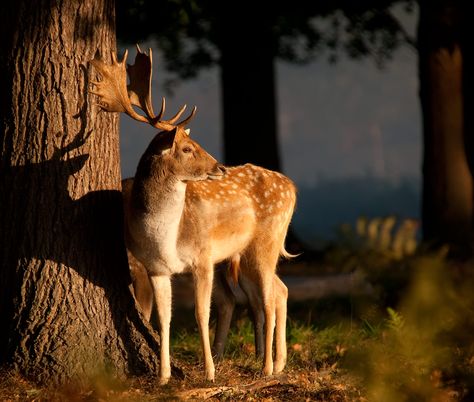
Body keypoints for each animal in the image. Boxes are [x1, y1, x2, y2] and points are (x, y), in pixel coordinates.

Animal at [89, 46, 296, 384]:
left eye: (194, 143)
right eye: (187, 148)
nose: (220, 167)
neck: (165, 238)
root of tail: (291, 186)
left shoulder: (202, 258)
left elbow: (200, 313)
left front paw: (209, 372)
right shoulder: (155, 268)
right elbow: (164, 319)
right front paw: (163, 376)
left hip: (265, 243)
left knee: (267, 297)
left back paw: (266, 368)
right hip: (242, 254)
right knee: (277, 291)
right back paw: (278, 362)